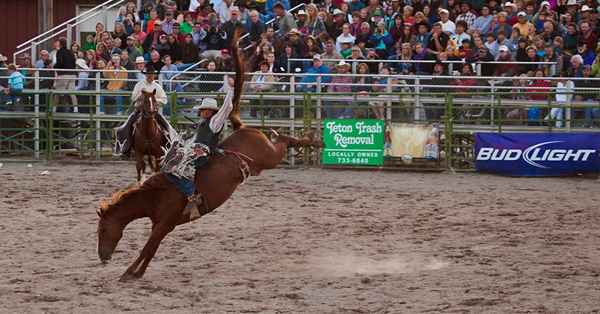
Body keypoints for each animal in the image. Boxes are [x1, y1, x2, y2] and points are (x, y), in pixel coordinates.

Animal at [98, 28, 322, 282]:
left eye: (103, 229)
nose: (102, 257)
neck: (157, 195)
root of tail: (242, 127)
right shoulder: (163, 226)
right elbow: (151, 250)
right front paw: (136, 273)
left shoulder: (164, 224)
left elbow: (147, 248)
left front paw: (128, 272)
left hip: (269, 156)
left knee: (283, 141)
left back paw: (313, 139)